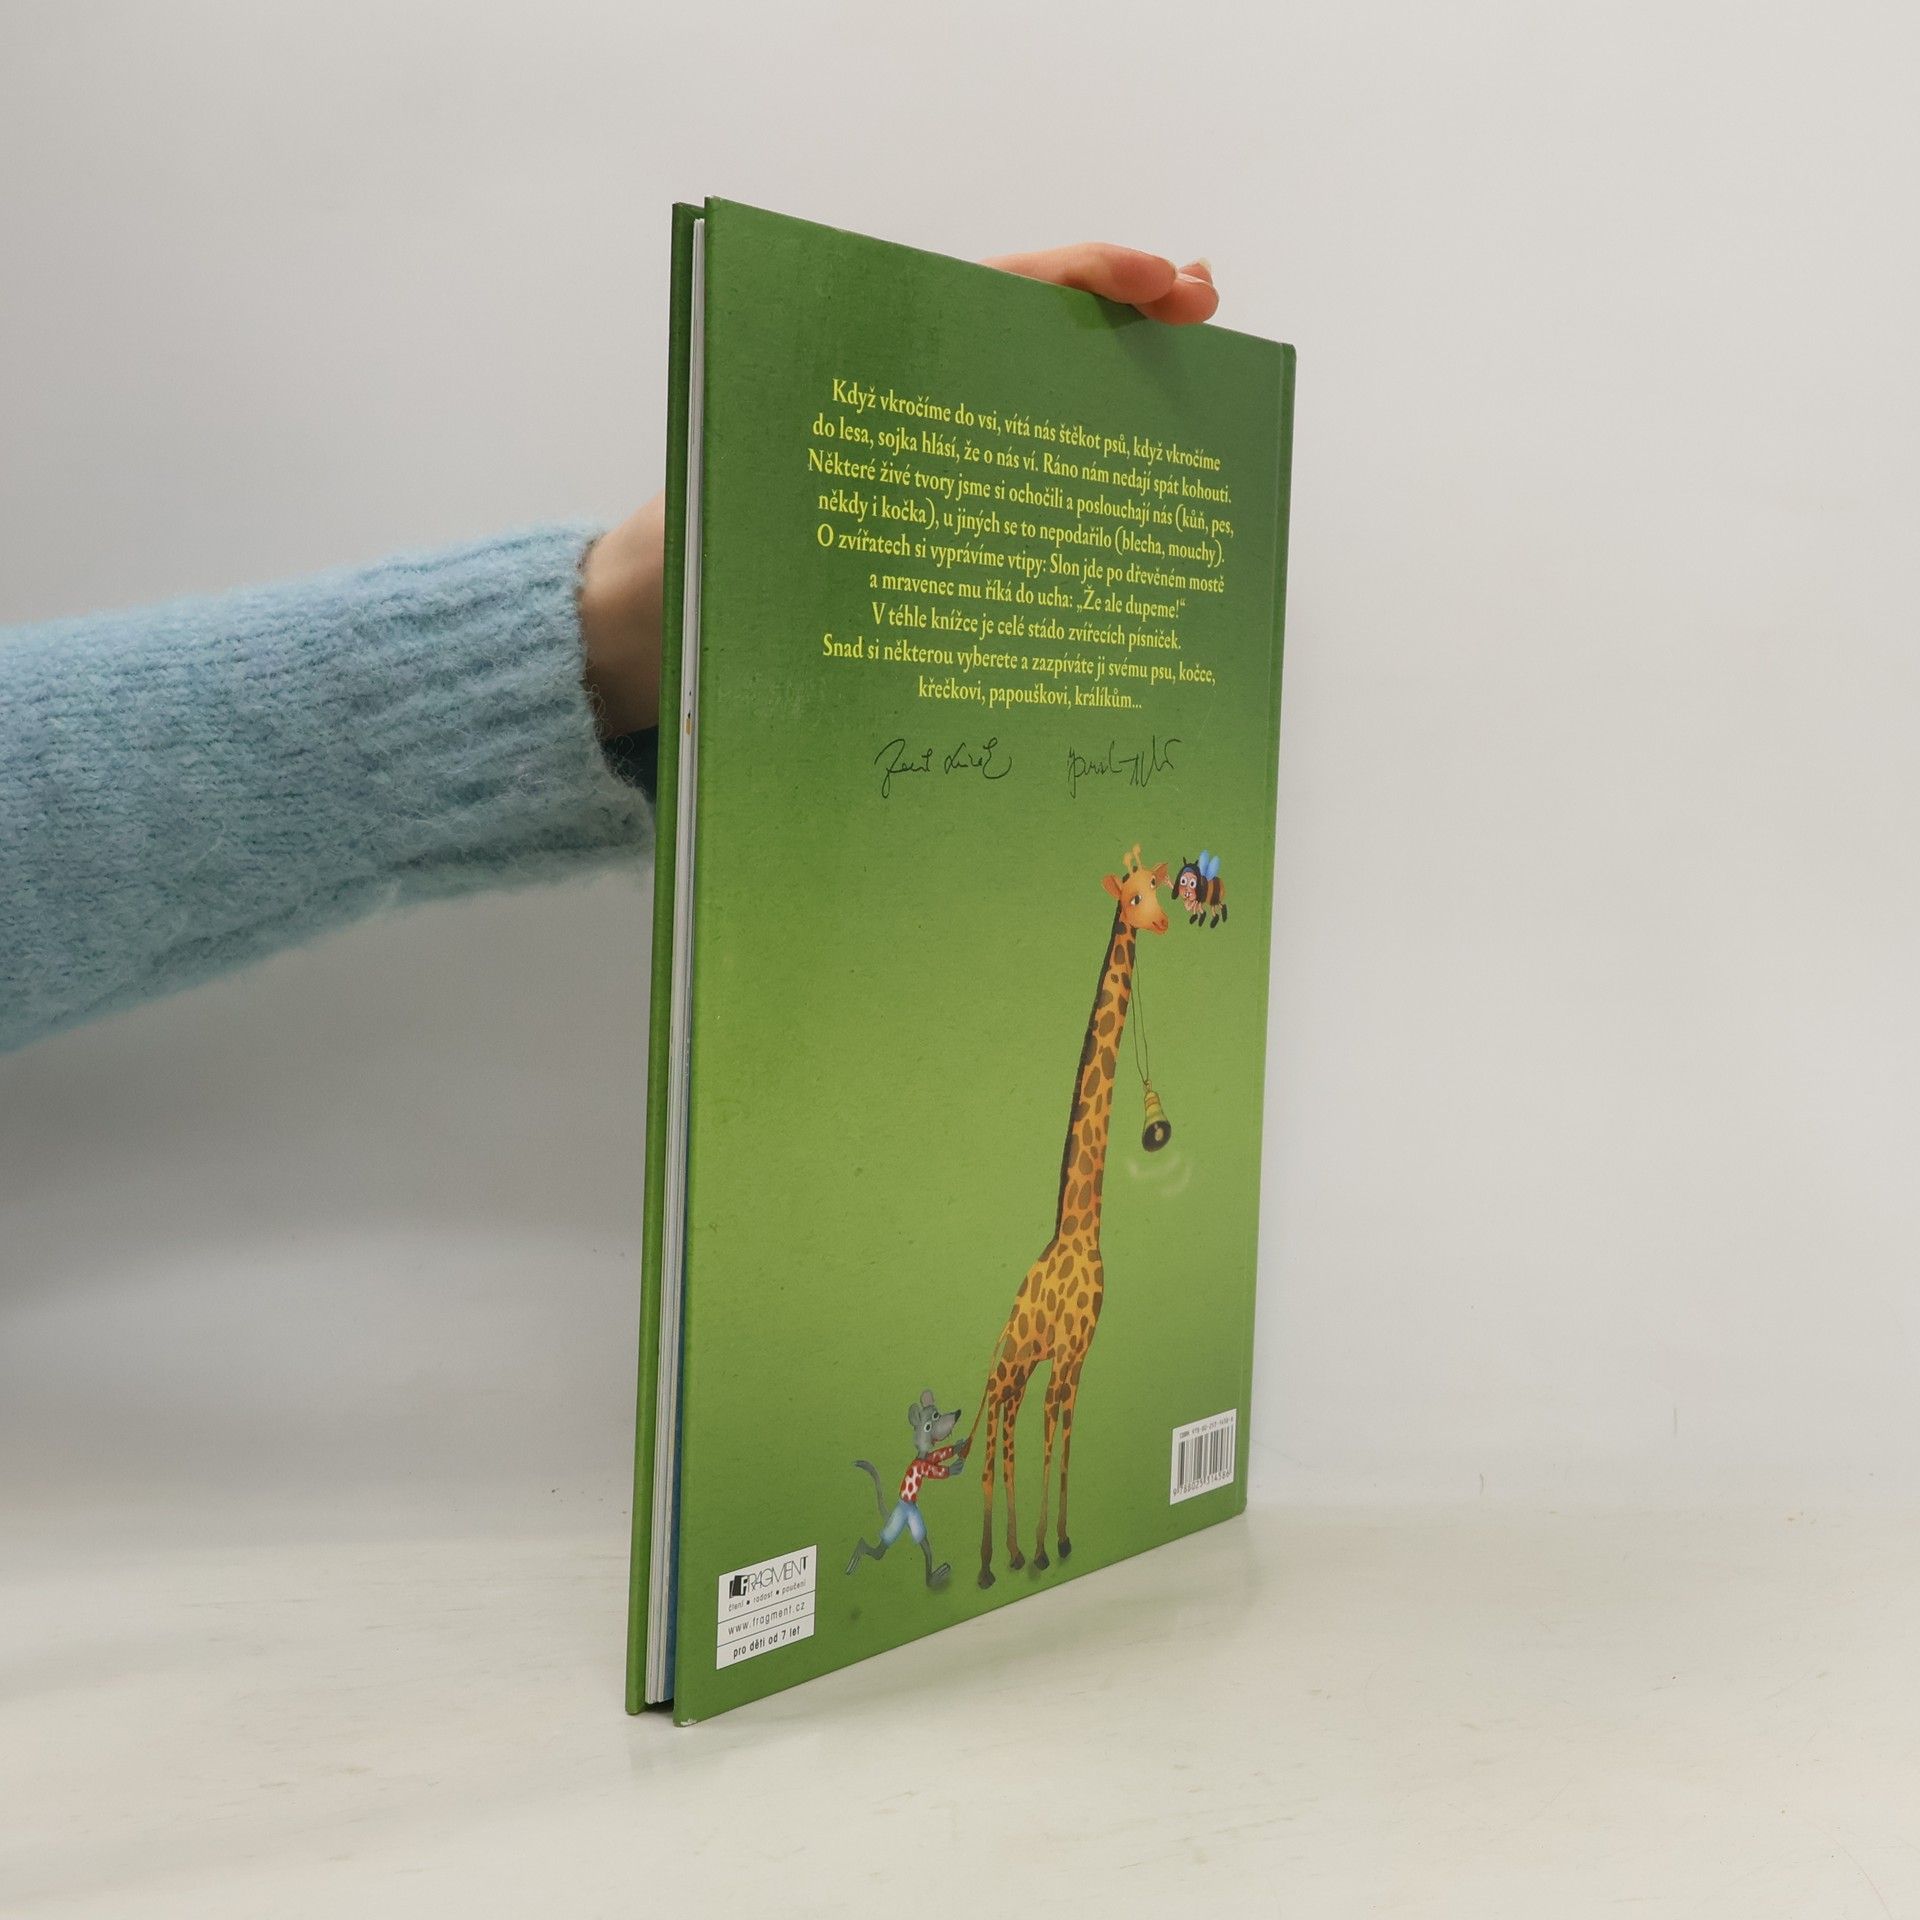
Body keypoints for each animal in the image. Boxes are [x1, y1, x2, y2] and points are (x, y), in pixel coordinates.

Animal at [971, 844, 1171, 1588]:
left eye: (1158, 887)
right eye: (1134, 895)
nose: (1164, 920)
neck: (1081, 1226)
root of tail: (998, 1336)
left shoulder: (1079, 1353)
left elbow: (1067, 1432)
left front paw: (1057, 1538)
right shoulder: (1064, 1350)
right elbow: (1052, 1432)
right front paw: (1041, 1548)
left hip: (1022, 1367)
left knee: (1008, 1425)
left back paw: (1002, 1551)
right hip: (1010, 1365)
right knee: (994, 1433)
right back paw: (988, 1562)